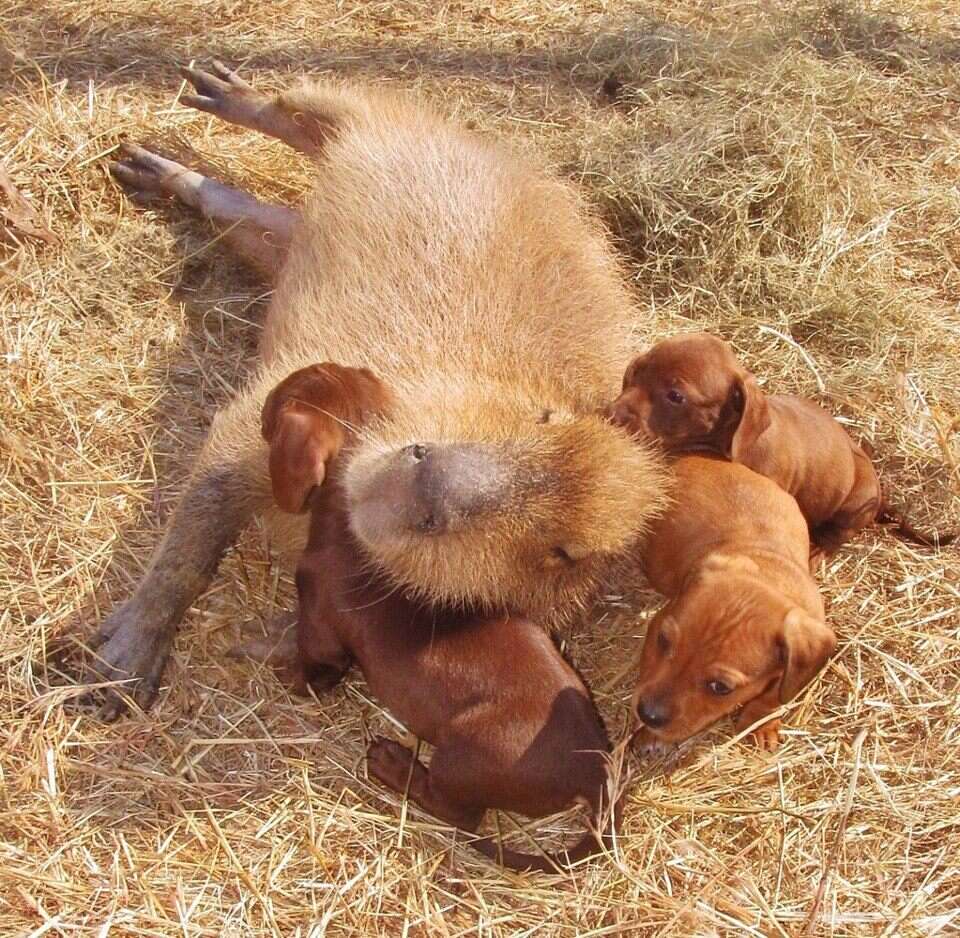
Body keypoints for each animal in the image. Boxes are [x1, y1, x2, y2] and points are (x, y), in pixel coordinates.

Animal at [255, 364, 620, 872]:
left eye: (282, 399)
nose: (259, 412)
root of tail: (591, 769)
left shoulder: (322, 630)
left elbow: (313, 670)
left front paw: (285, 672)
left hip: (462, 755)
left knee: (459, 813)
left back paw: (392, 765)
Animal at [608, 332, 952, 556]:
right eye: (636, 370)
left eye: (676, 396)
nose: (610, 413)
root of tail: (881, 498)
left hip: (855, 503)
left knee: (837, 536)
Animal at [632, 450, 832, 748]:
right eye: (664, 641)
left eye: (720, 688)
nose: (647, 714)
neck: (768, 573)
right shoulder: (657, 624)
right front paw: (646, 734)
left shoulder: (797, 669)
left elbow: (772, 696)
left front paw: (761, 722)